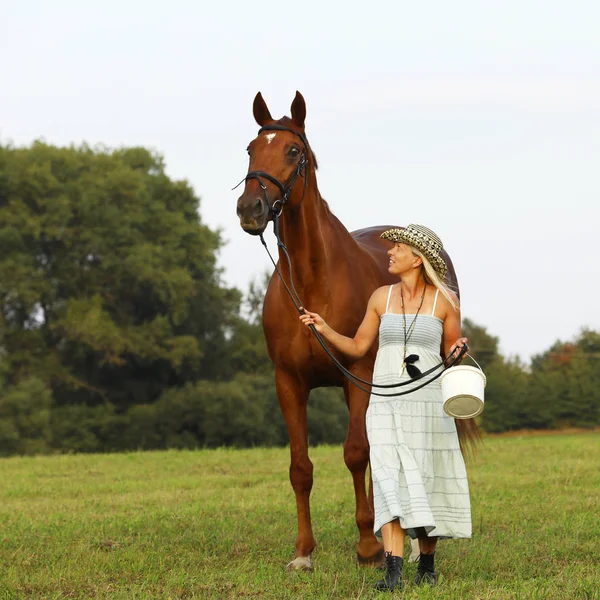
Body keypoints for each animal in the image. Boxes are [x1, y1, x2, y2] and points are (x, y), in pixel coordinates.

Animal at [236, 91, 478, 568]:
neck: (314, 280)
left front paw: (368, 547)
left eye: (293, 151)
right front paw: (303, 552)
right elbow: (300, 466)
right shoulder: (288, 382)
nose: (250, 209)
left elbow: (354, 453)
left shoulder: (358, 377)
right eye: (251, 149)